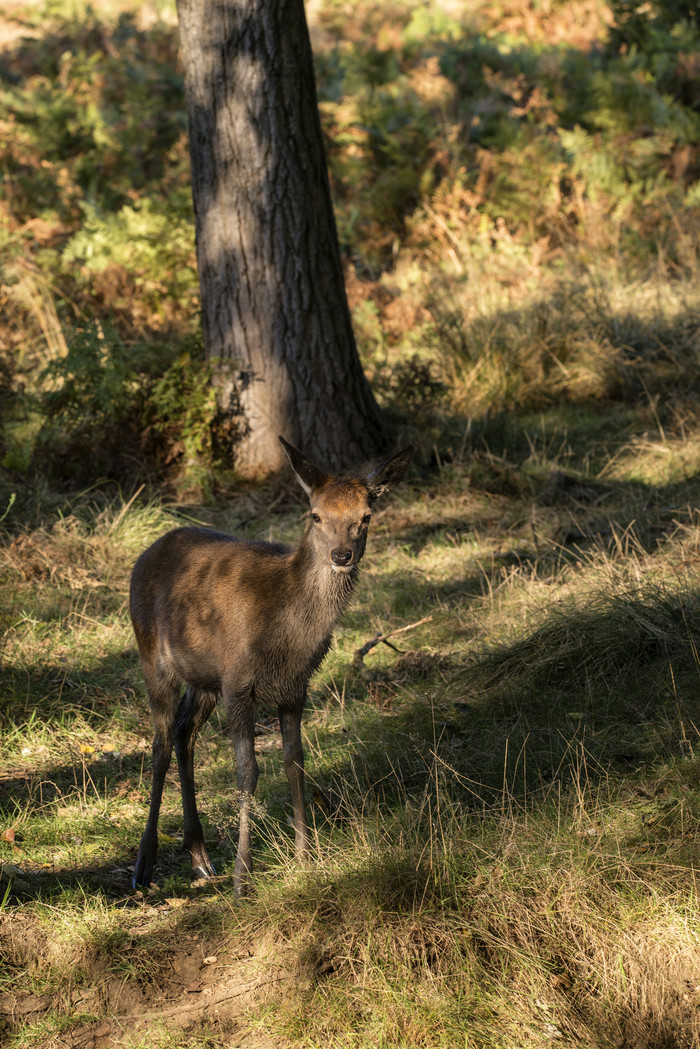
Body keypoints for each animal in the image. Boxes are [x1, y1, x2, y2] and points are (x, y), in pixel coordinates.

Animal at [129, 434, 413, 893]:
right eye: (315, 514)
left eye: (366, 516)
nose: (341, 555)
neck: (284, 636)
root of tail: (144, 556)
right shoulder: (239, 682)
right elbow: (247, 770)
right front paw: (243, 878)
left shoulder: (294, 687)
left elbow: (294, 763)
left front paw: (305, 859)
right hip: (153, 657)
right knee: (159, 745)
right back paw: (144, 864)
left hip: (204, 679)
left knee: (184, 733)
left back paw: (200, 857)